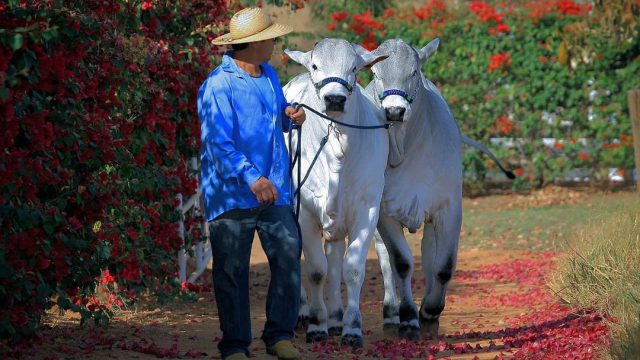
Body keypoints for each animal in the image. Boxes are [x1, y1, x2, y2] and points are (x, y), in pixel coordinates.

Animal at [282, 38, 388, 346]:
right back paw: (303, 313)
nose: (335, 100)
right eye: (316, 65)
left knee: (335, 257)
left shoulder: (367, 209)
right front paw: (317, 324)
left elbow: (351, 269)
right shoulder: (304, 212)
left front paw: (352, 328)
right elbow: (316, 270)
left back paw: (337, 317)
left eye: (354, 68)